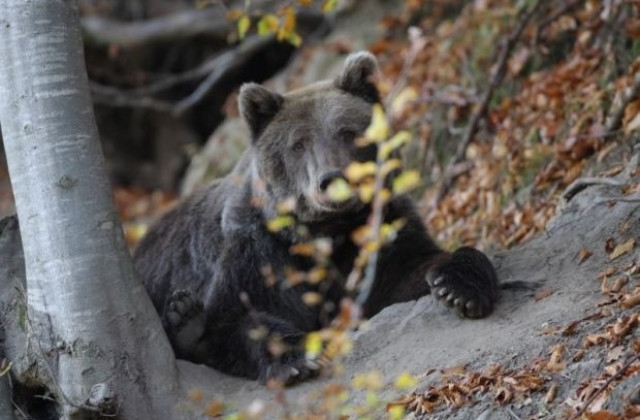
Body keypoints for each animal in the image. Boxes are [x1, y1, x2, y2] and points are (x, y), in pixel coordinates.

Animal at [132, 51, 498, 384]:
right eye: (298, 144)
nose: (333, 179)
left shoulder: (378, 230)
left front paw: (458, 288)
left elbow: (410, 270)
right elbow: (233, 317)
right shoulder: (258, 250)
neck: (328, 231)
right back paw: (184, 317)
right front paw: (297, 358)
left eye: (348, 131)